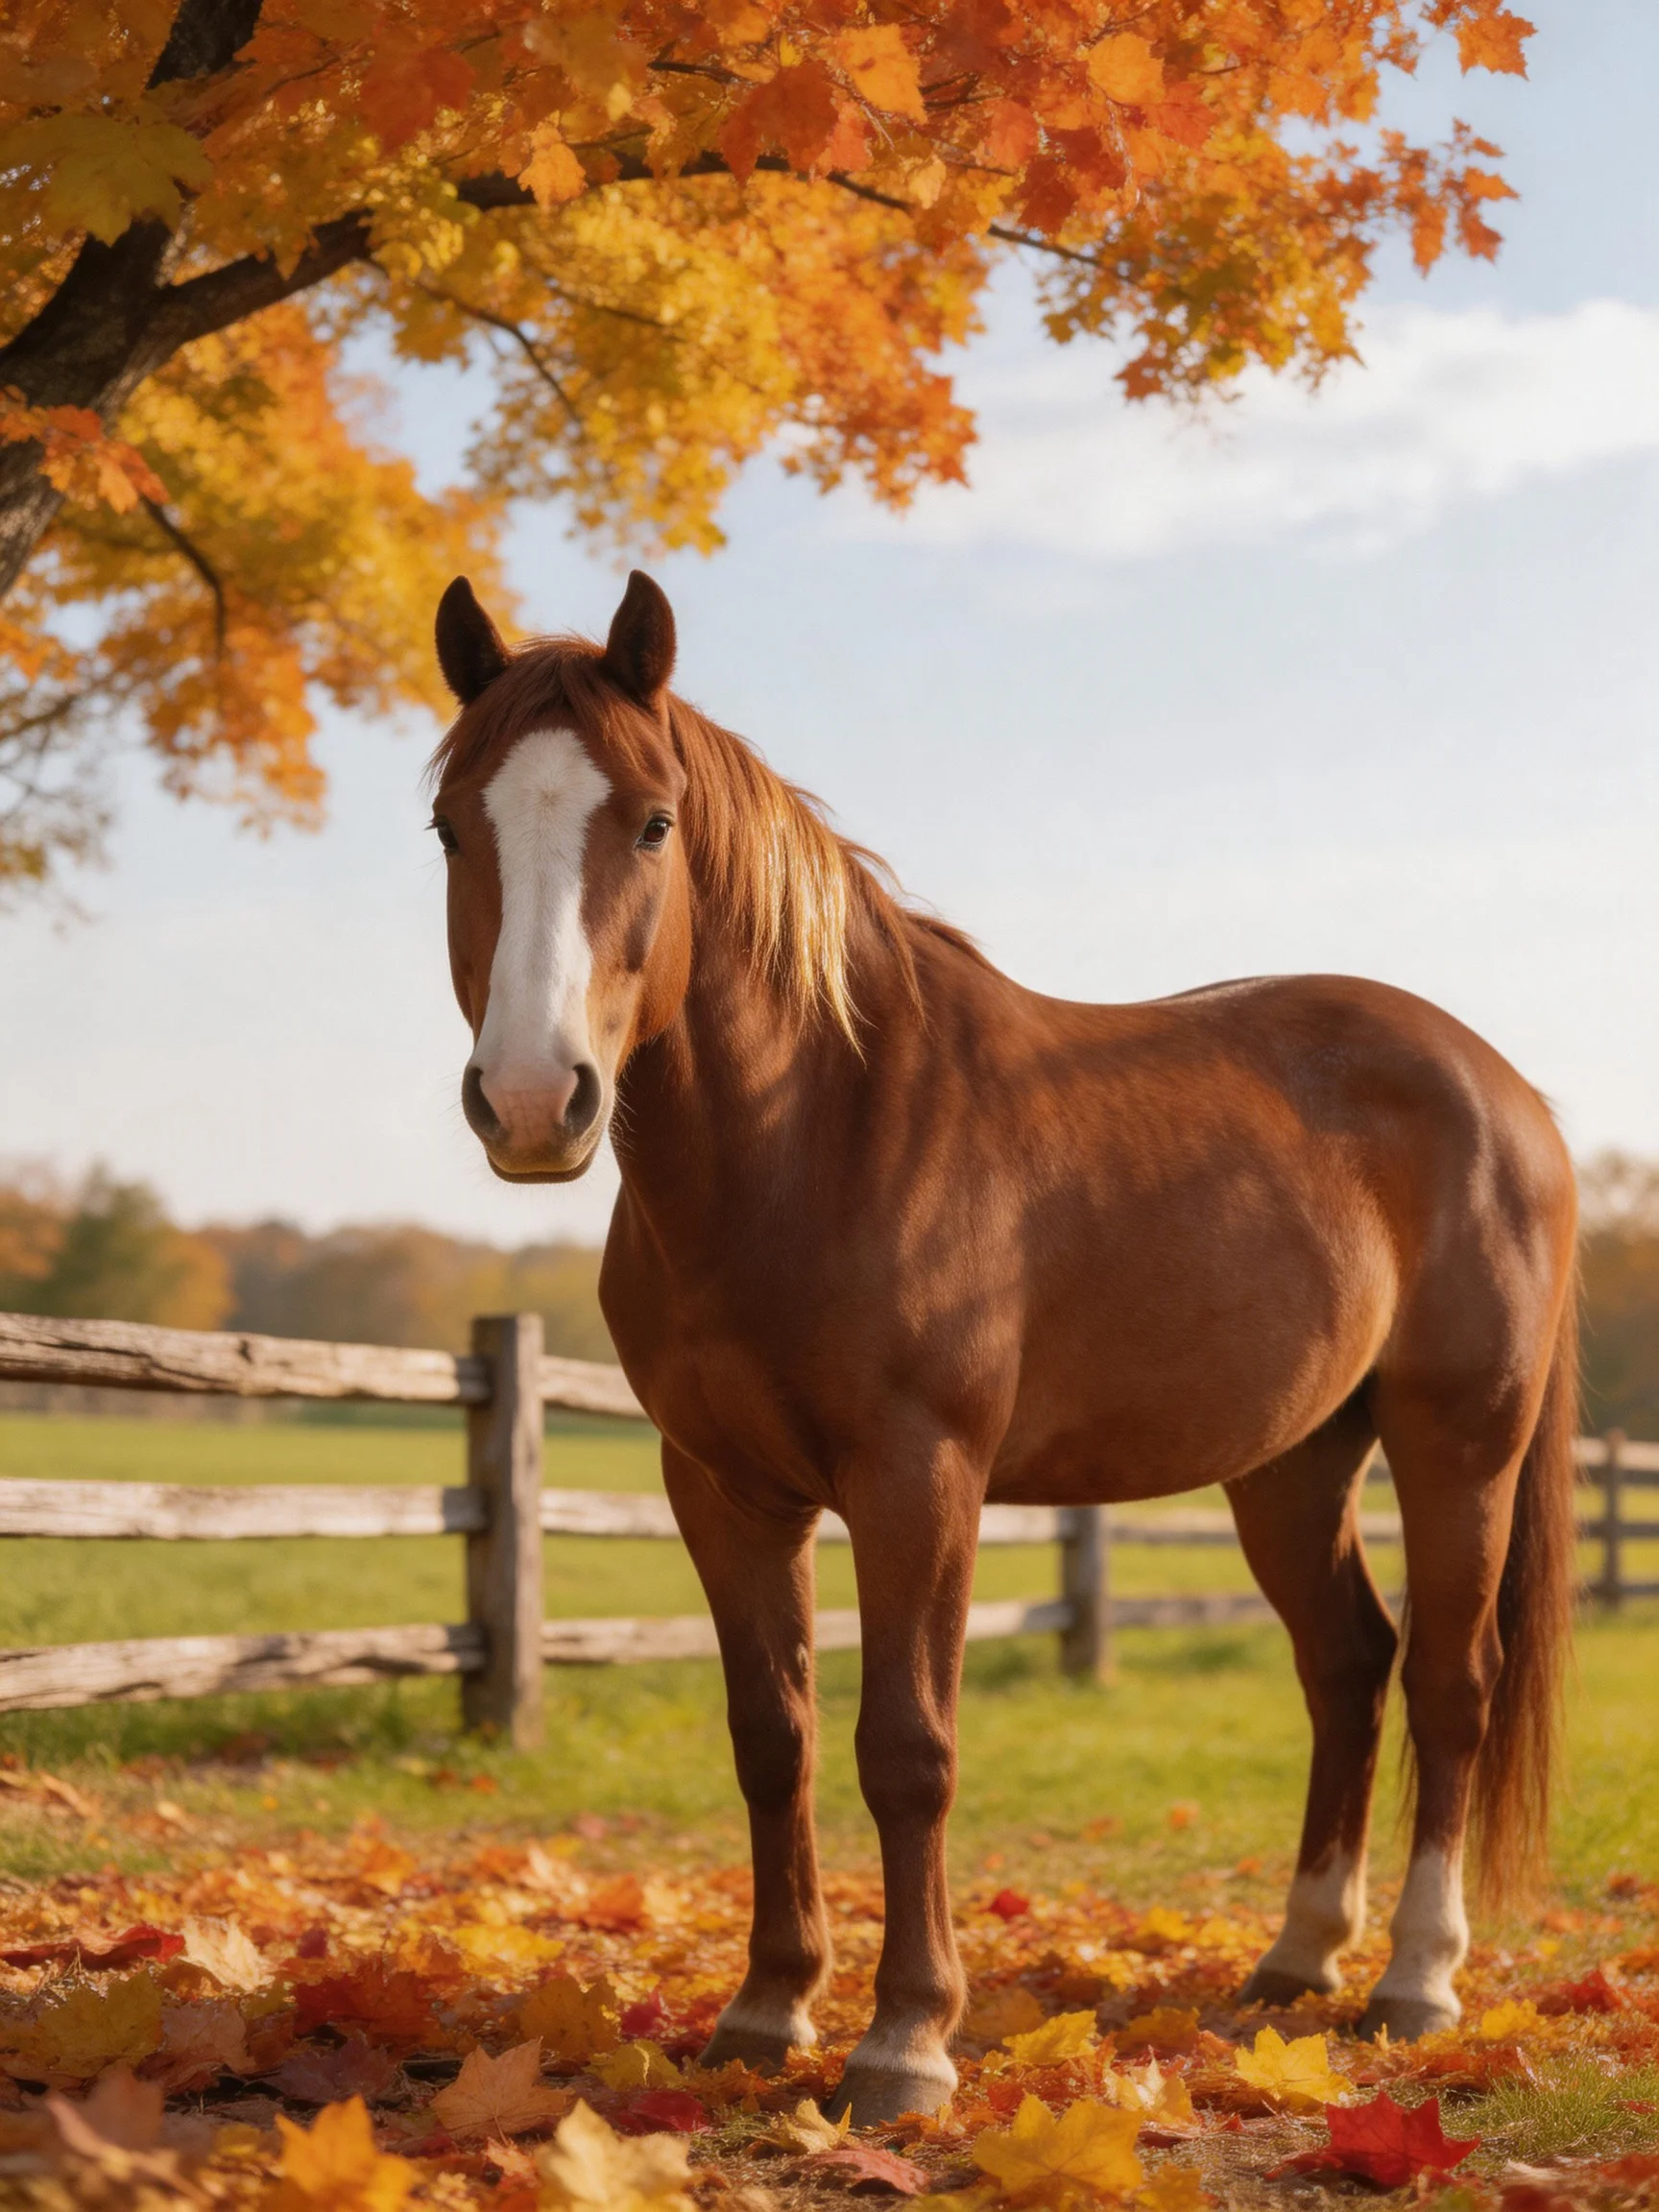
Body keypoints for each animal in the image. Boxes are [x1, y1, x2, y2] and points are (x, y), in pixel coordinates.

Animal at [427, 568, 1579, 2126]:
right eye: (453, 823)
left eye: (654, 822)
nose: (535, 1100)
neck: (816, 1139)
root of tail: (1506, 1093)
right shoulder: (722, 1491)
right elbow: (773, 1737)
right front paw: (765, 2012)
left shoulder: (922, 1480)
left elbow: (907, 1750)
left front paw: (905, 2042)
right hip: (1293, 1465)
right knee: (1348, 1666)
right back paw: (1295, 1963)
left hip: (1460, 1445)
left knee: (1452, 1684)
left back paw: (1415, 1981)